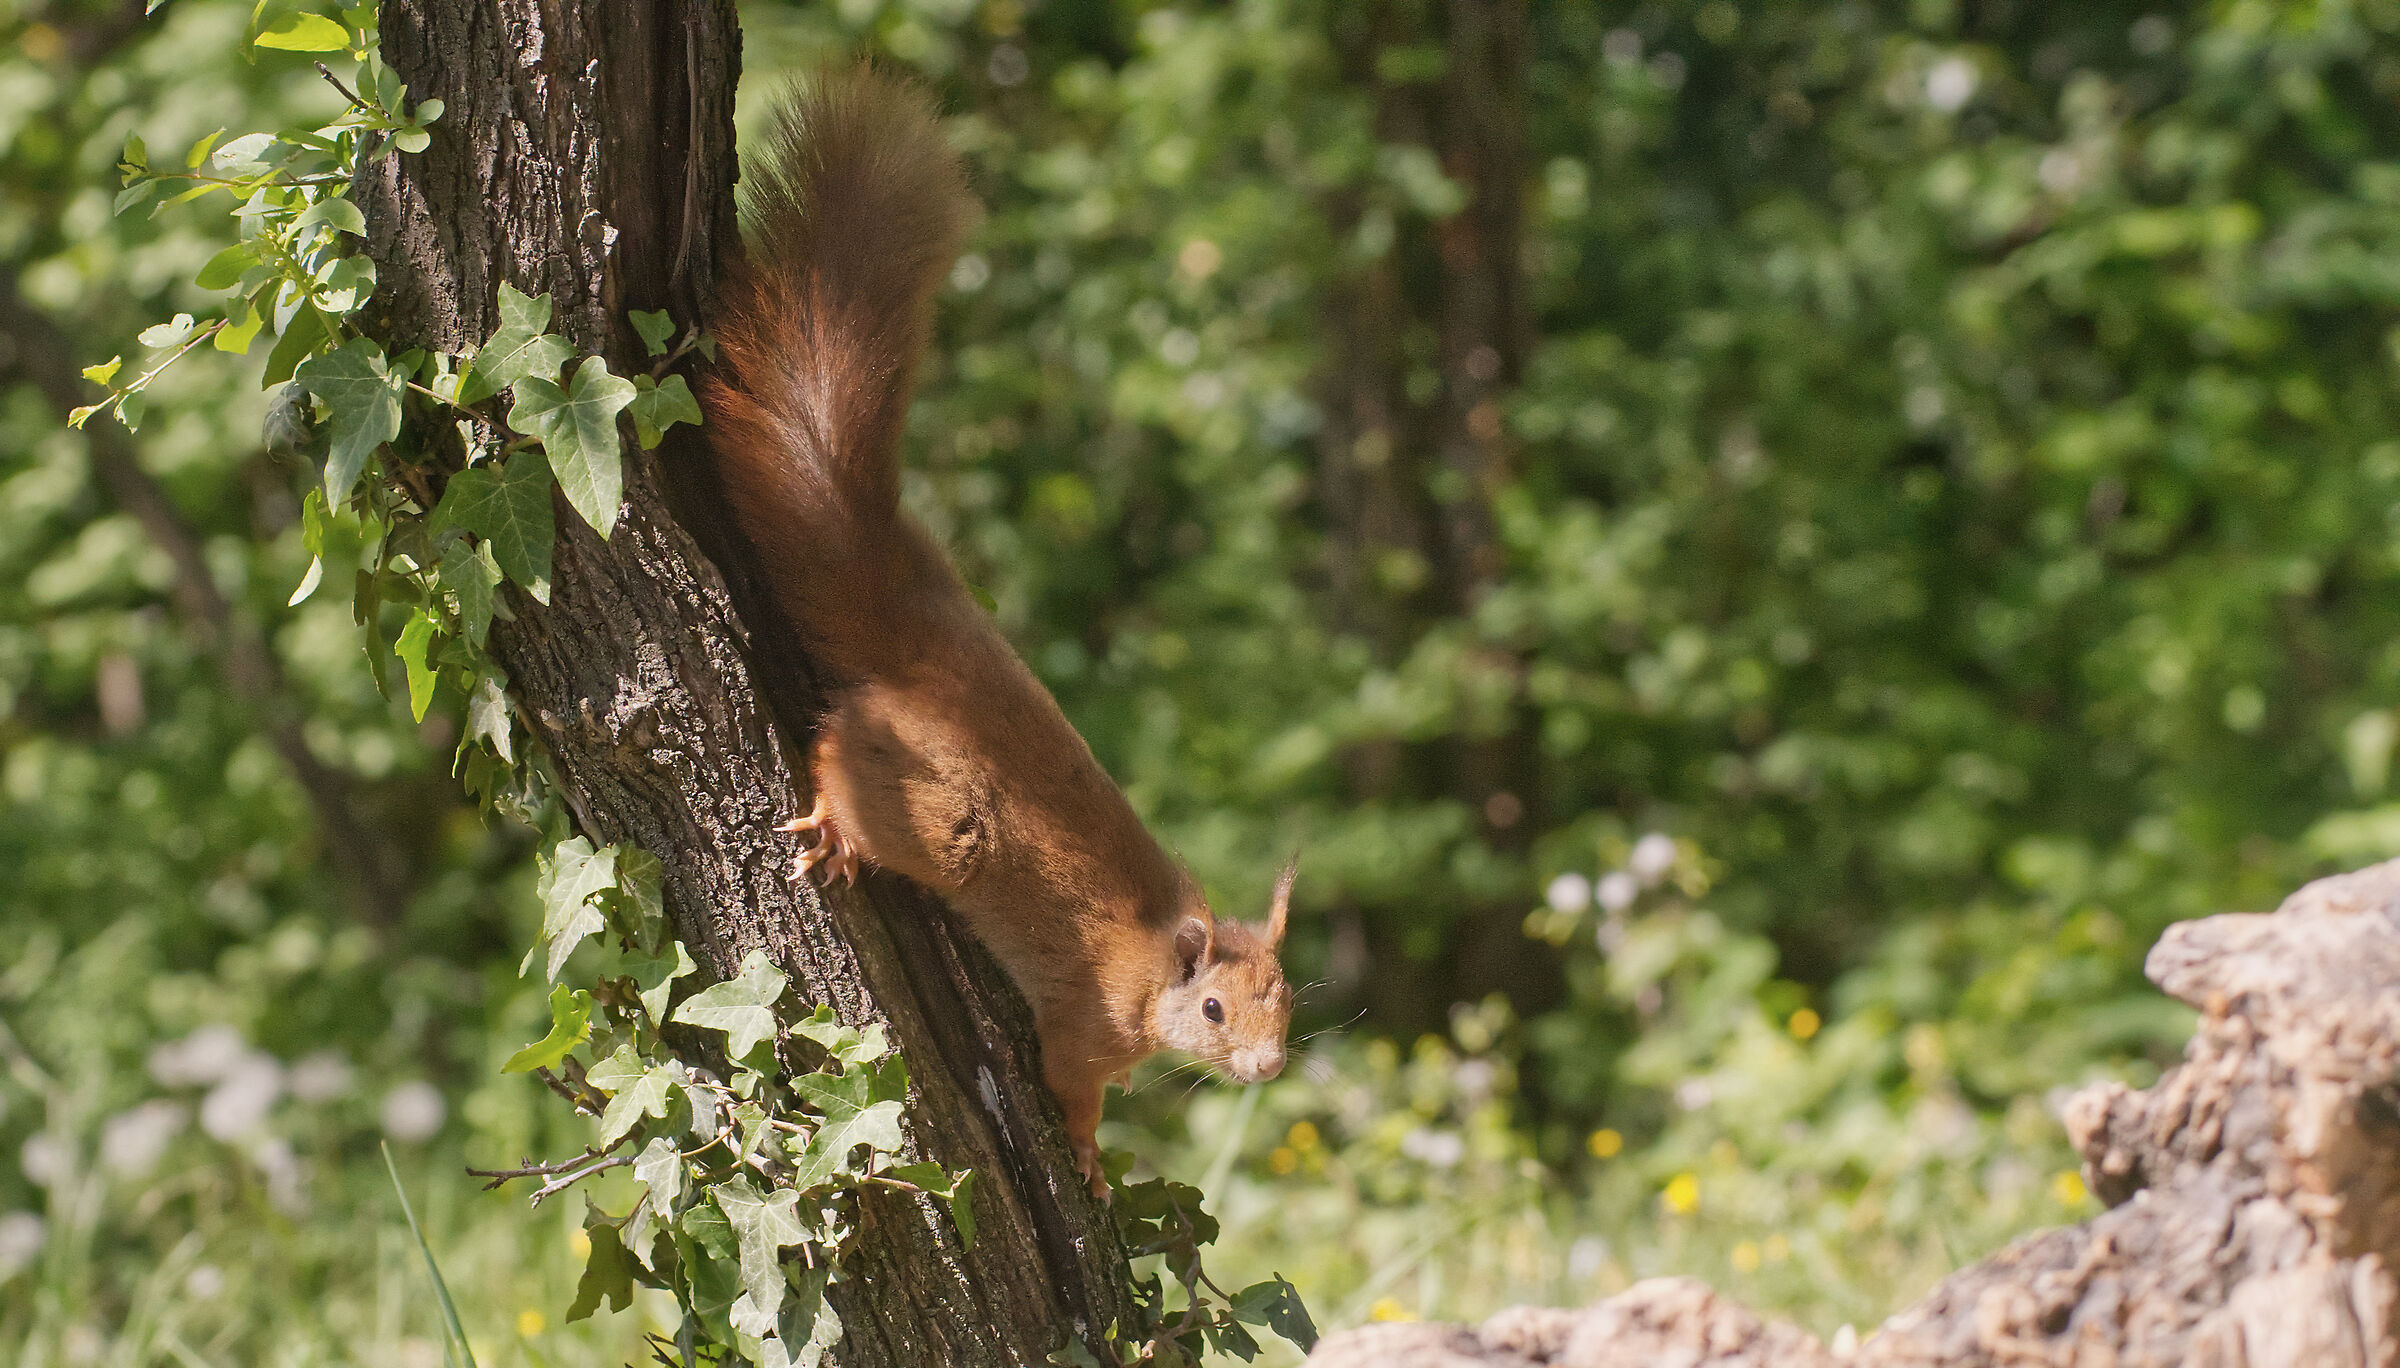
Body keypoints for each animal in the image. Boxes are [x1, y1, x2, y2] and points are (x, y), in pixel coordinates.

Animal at [698, 68, 1295, 1198]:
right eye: (1210, 1008)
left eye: (1289, 993)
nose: (1271, 1067)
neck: (1149, 962)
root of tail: (924, 657)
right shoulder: (1082, 1023)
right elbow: (1073, 1087)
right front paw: (1089, 1158)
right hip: (940, 816)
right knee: (838, 749)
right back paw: (836, 826)